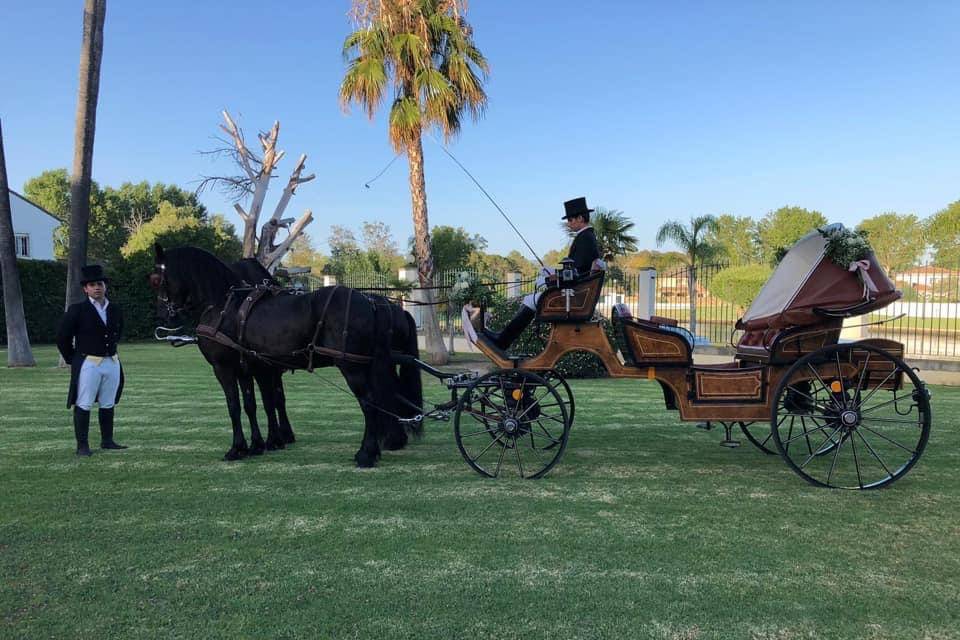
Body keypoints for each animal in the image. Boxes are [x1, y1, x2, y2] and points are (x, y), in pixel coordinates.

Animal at [151, 244, 420, 464]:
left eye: (155, 279)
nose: (163, 315)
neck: (223, 305)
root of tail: (370, 302)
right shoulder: (251, 368)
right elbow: (255, 404)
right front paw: (260, 444)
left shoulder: (224, 369)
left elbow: (235, 406)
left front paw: (238, 448)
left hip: (352, 367)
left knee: (370, 403)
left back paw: (367, 453)